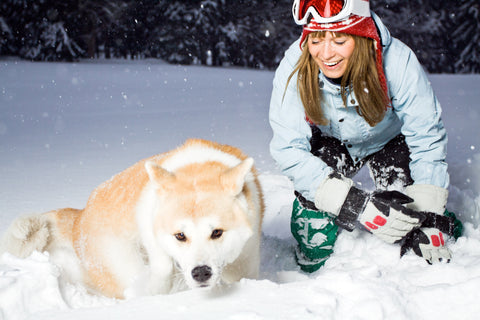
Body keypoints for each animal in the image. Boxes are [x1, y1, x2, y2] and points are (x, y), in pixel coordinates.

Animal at [0, 139, 264, 298]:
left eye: (217, 232)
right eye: (180, 236)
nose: (201, 273)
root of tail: (80, 216)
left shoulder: (246, 256)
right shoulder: (151, 234)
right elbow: (162, 267)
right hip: (120, 265)